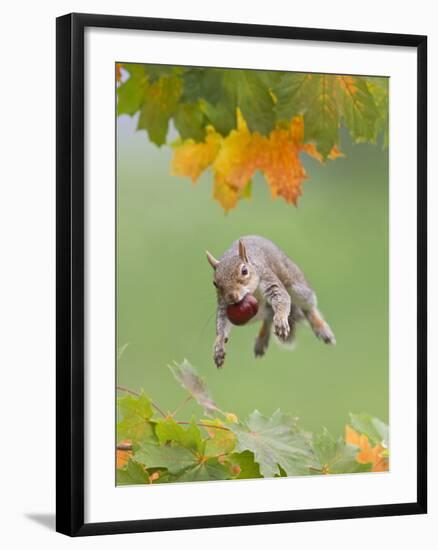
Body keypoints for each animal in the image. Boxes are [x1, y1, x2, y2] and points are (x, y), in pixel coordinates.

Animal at [205, 235, 336, 368]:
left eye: (244, 271)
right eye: (214, 283)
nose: (231, 296)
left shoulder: (267, 277)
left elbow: (281, 297)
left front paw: (281, 319)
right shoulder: (223, 304)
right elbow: (222, 323)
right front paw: (219, 346)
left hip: (297, 287)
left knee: (308, 309)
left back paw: (321, 328)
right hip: (255, 314)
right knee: (268, 318)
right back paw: (261, 340)